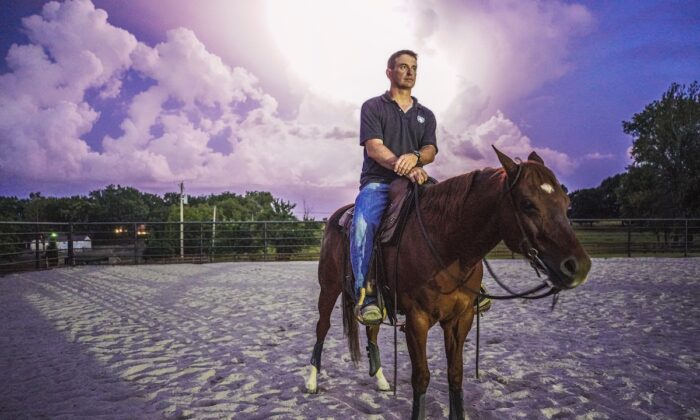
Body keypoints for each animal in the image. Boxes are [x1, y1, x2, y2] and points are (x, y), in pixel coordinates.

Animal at [304, 147, 592, 416]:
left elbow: (455, 374)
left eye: (566, 202)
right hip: (328, 289)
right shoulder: (417, 321)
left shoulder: (460, 318)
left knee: (371, 329)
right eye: (528, 203)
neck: (445, 243)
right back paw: (311, 381)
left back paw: (382, 381)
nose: (578, 266)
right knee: (322, 327)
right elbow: (421, 378)